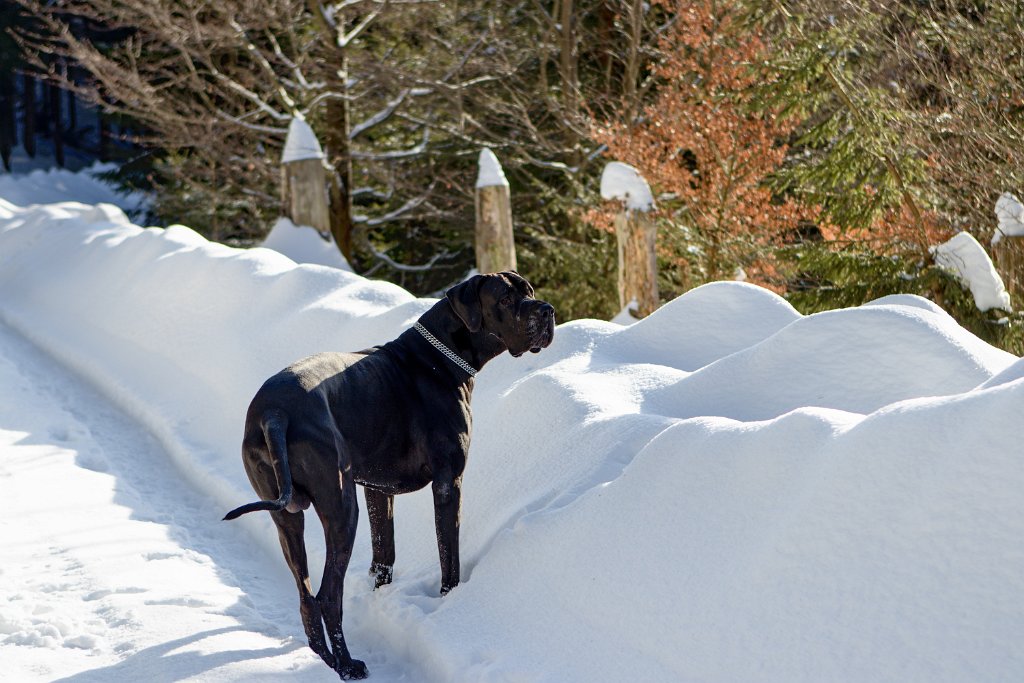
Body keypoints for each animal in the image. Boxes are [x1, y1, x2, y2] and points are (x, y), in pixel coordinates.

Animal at [222, 270, 552, 679]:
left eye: (530, 291)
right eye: (505, 299)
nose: (547, 310)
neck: (440, 358)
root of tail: (274, 413)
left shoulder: (377, 489)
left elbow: (384, 552)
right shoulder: (448, 483)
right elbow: (449, 556)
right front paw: (449, 599)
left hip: (287, 517)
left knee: (305, 595)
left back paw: (327, 661)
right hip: (341, 509)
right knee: (328, 595)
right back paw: (348, 666)